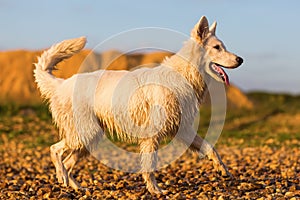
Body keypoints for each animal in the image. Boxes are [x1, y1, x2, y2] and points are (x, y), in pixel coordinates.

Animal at [33, 16, 244, 195]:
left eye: (223, 47)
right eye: (217, 47)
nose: (240, 59)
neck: (183, 75)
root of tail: (61, 84)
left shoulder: (183, 129)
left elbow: (210, 148)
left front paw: (223, 170)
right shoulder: (153, 135)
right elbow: (150, 165)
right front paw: (155, 190)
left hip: (89, 138)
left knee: (68, 162)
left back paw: (74, 186)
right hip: (85, 133)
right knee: (55, 150)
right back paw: (63, 177)